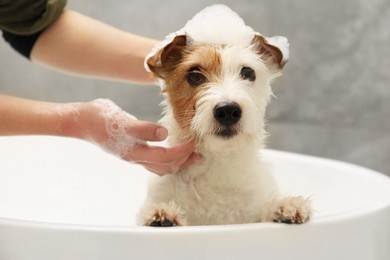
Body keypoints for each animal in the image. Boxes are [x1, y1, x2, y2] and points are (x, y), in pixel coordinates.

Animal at [137, 5, 310, 226]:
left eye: (248, 73)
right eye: (195, 75)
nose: (228, 110)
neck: (217, 162)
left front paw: (283, 207)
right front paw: (163, 215)